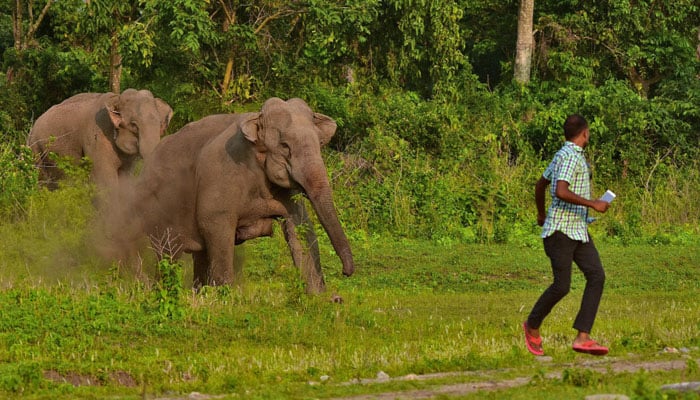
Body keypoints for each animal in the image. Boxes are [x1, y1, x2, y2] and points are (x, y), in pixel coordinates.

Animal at [28, 89, 174, 192]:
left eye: (161, 125)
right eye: (134, 125)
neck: (116, 99)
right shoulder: (96, 139)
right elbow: (105, 180)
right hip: (36, 150)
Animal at [108, 97, 356, 294]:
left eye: (320, 144)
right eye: (285, 146)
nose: (346, 272)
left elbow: (301, 226)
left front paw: (319, 297)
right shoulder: (223, 173)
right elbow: (215, 224)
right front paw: (225, 297)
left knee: (200, 253)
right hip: (156, 211)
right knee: (169, 253)